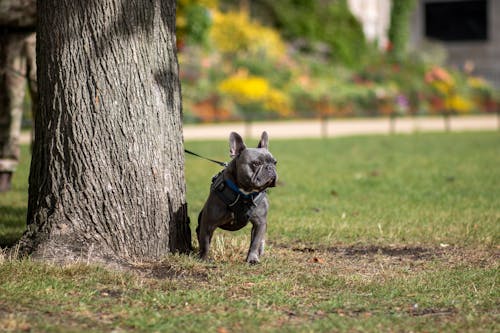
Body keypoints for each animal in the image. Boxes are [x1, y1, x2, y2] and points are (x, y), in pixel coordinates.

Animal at [197, 131, 280, 264]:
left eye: (275, 162)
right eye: (256, 163)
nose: (270, 168)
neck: (245, 193)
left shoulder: (260, 222)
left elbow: (255, 242)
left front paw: (252, 259)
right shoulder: (208, 222)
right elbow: (205, 242)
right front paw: (204, 258)